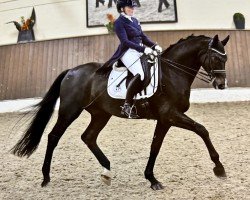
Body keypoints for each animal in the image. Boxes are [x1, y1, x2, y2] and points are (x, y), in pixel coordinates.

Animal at [11, 34, 230, 191]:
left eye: (225, 58)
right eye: (215, 57)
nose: (221, 85)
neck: (172, 74)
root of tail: (71, 71)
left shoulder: (164, 119)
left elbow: (155, 146)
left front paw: (152, 179)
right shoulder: (170, 115)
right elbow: (202, 130)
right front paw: (219, 168)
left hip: (101, 114)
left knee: (88, 137)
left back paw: (107, 170)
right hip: (70, 111)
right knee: (53, 136)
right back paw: (46, 177)